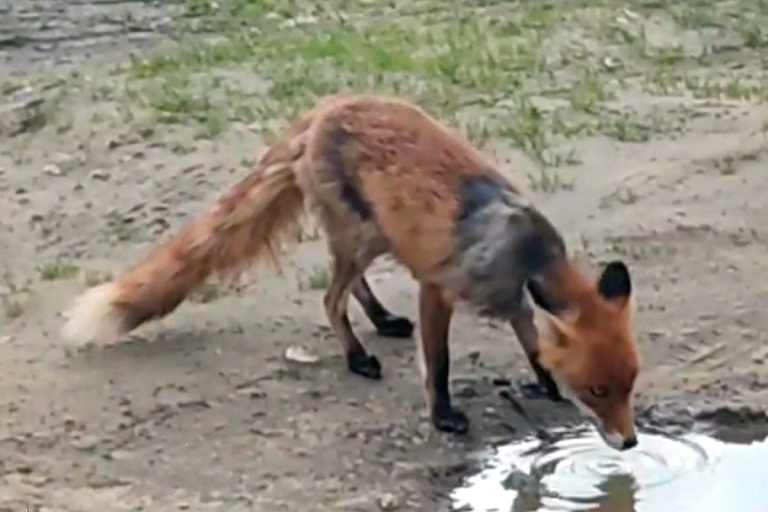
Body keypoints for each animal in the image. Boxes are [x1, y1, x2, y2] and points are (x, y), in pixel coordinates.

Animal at [61, 94, 640, 450]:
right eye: (598, 391)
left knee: (351, 286)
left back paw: (382, 322)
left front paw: (545, 385)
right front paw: (443, 416)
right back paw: (358, 356)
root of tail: (326, 105)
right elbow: (440, 363)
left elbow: (533, 346)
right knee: (330, 298)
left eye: (630, 384)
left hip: (374, 235)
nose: (631, 441)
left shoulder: (515, 298)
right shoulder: (437, 287)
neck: (521, 256)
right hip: (362, 237)